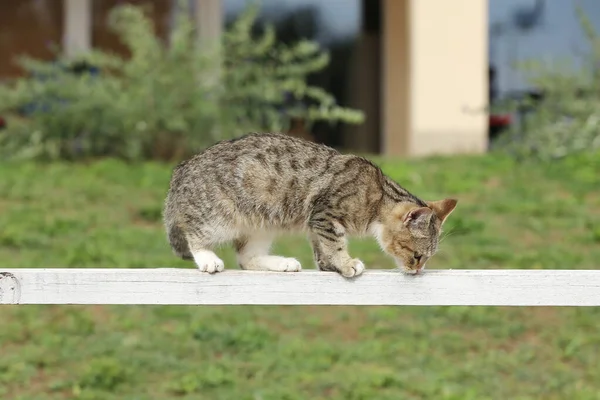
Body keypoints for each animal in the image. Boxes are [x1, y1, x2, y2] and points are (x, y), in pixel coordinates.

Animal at [162, 133, 458, 276]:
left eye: (426, 258)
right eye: (417, 256)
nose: (418, 271)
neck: (376, 197)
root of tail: (182, 167)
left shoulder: (316, 221)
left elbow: (321, 246)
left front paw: (329, 264)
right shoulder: (325, 214)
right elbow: (335, 243)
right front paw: (345, 263)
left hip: (261, 226)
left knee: (246, 258)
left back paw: (282, 264)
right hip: (218, 217)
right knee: (195, 234)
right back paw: (207, 258)